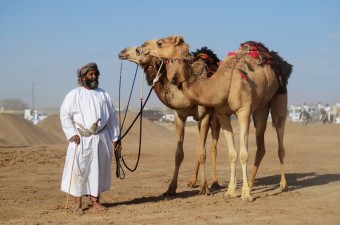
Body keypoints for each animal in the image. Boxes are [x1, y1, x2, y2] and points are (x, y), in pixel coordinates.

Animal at [118, 46, 222, 195]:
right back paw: (192, 181)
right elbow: (179, 154)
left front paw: (204, 188)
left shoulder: (205, 115)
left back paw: (214, 182)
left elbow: (203, 153)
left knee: (213, 148)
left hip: (216, 116)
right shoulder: (179, 116)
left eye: (140, 50)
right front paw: (171, 188)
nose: (122, 52)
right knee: (199, 145)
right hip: (198, 121)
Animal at [141, 36, 292, 201]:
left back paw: (282, 185)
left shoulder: (243, 112)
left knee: (280, 138)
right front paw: (231, 191)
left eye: (160, 43)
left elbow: (243, 154)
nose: (141, 47)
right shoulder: (221, 114)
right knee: (260, 145)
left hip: (279, 97)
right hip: (261, 107)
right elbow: (232, 154)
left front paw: (245, 194)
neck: (223, 84)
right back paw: (250, 183)